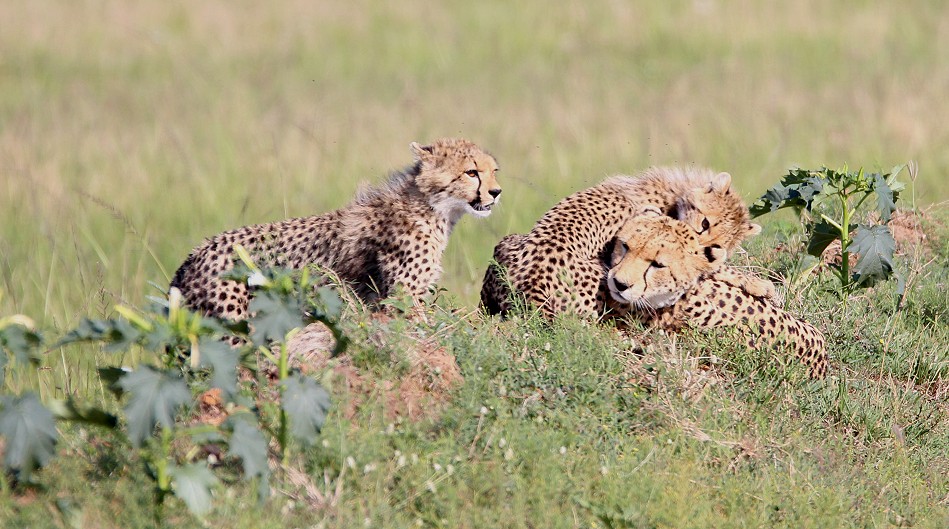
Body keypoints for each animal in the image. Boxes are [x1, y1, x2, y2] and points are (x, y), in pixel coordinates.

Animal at [169, 138, 500, 320]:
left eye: (493, 171)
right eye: (471, 172)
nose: (496, 192)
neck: (433, 207)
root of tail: (195, 254)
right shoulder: (404, 297)